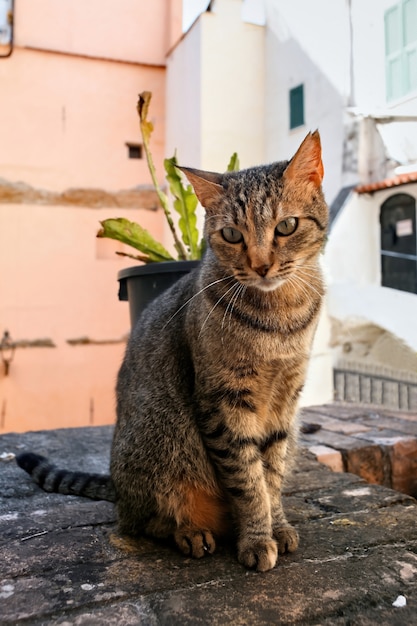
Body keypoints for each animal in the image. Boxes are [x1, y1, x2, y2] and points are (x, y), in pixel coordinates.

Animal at [17, 132, 328, 572]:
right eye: (232, 235)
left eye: (286, 226)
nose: (261, 265)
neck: (280, 317)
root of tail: (117, 485)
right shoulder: (223, 403)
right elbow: (249, 482)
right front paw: (256, 538)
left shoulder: (285, 402)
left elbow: (272, 475)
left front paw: (278, 525)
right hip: (162, 441)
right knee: (143, 521)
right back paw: (190, 533)